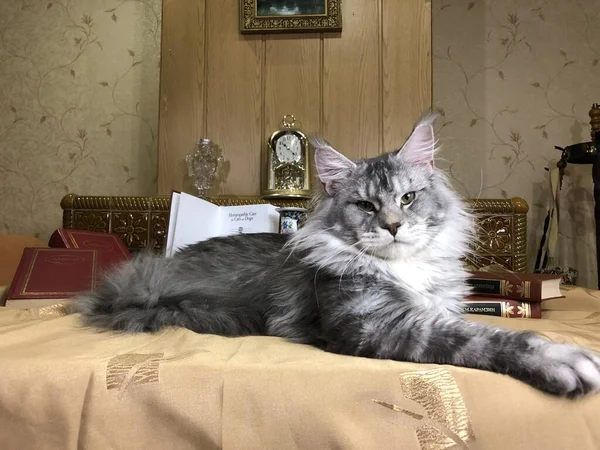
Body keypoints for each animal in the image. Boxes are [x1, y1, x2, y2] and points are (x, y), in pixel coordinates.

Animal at [77, 115, 600, 398]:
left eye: (408, 198)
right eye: (366, 206)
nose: (393, 225)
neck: (402, 268)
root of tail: (142, 277)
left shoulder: (429, 310)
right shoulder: (373, 324)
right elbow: (486, 338)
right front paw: (562, 360)